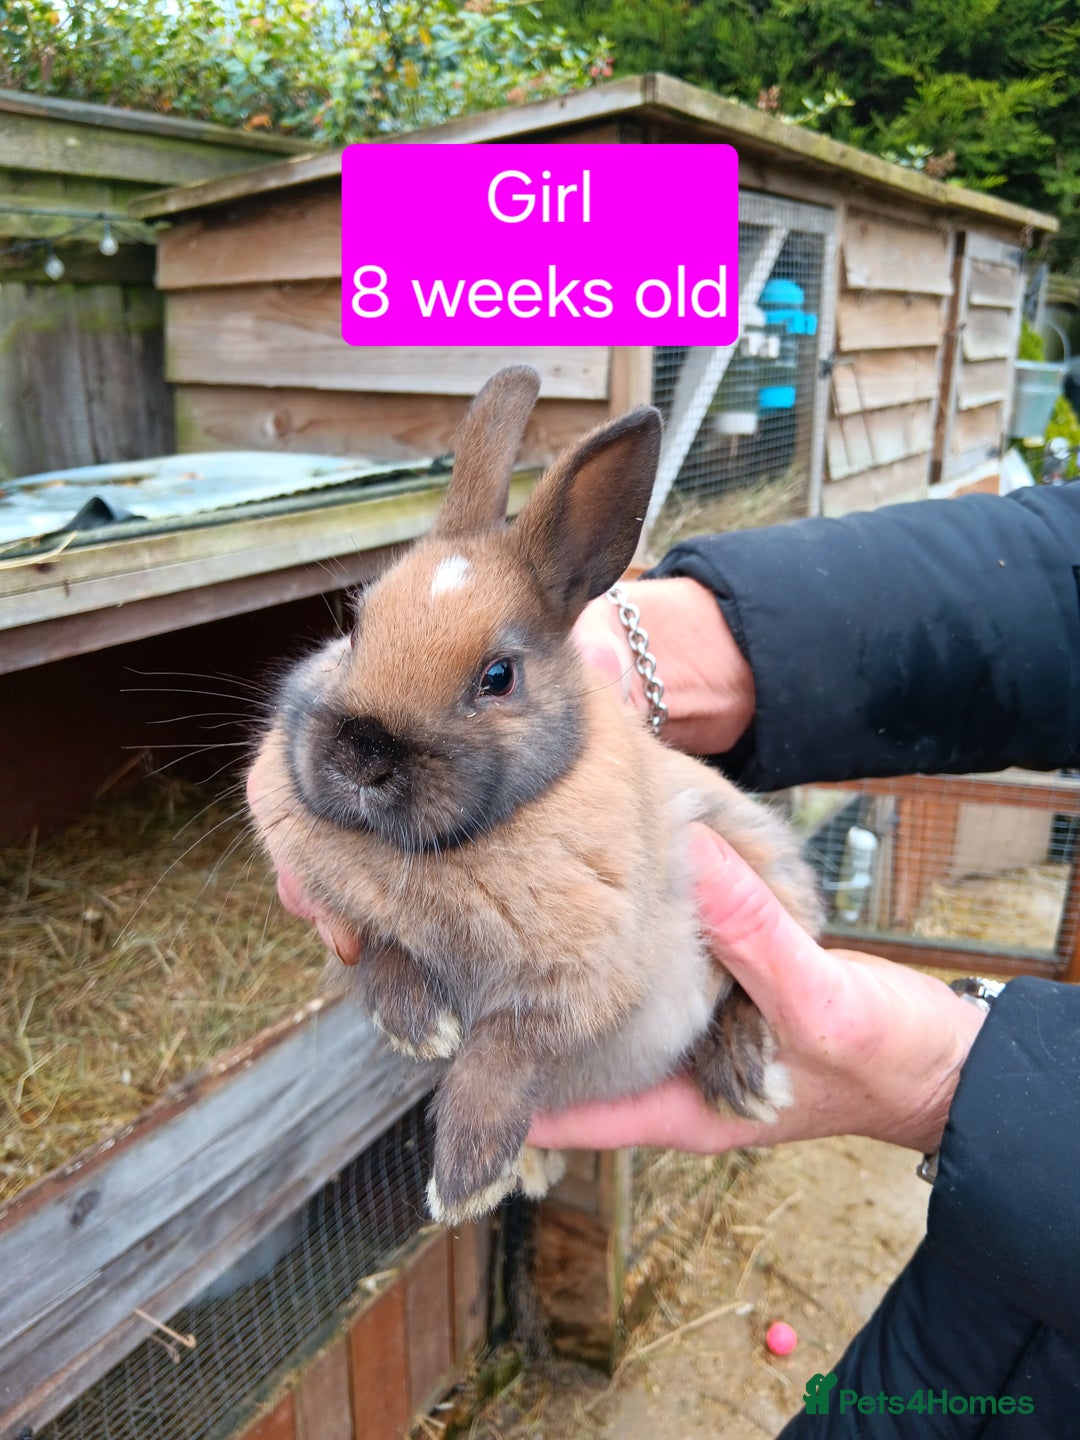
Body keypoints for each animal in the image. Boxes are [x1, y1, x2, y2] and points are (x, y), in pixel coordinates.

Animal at [246, 365, 822, 1226]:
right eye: (355, 627)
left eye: (498, 677)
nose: (359, 756)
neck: (456, 845)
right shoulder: (348, 925)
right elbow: (385, 956)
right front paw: (420, 1029)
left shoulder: (575, 981)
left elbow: (502, 1051)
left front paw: (465, 1180)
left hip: (769, 866)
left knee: (751, 996)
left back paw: (742, 1078)